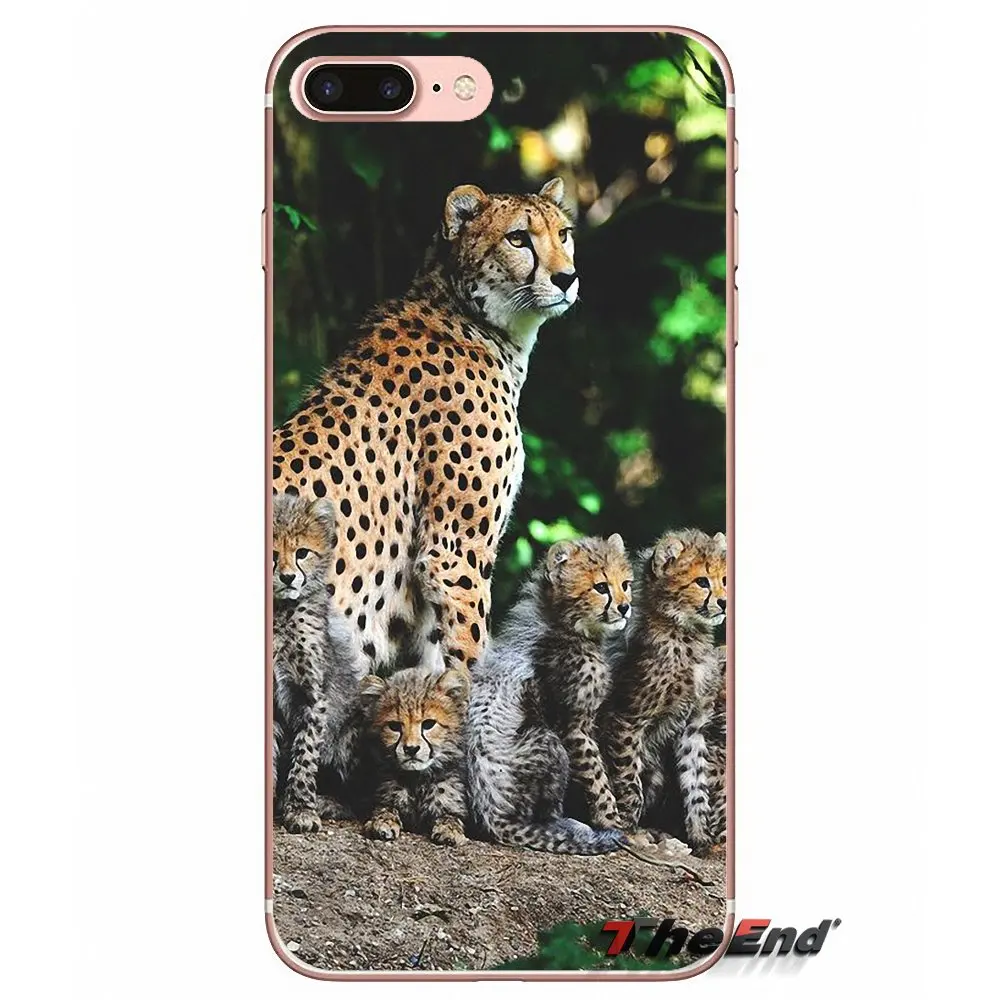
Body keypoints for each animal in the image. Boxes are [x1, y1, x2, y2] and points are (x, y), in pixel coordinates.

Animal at [272, 179, 578, 683]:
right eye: (518, 238)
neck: (472, 319)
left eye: (564, 234)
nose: (567, 278)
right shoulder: (454, 552)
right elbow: (470, 655)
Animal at [272, 493, 365, 832]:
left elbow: (306, 753)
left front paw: (301, 809)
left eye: (302, 553)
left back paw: (328, 802)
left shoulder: (312, 694)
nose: (288, 578)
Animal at [359, 666, 470, 846]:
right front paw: (382, 822)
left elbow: (450, 817)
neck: (418, 781)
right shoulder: (385, 798)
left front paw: (450, 830)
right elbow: (385, 808)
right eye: (394, 726)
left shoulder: (451, 805)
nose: (411, 749)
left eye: (428, 724)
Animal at [466, 535, 632, 854]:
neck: (564, 623)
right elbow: (596, 776)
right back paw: (572, 826)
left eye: (626, 584)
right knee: (543, 815)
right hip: (546, 740)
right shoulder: (572, 726)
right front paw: (611, 820)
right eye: (601, 587)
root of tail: (491, 814)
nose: (625, 607)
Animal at [599, 528, 727, 856]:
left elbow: (696, 784)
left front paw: (701, 837)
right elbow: (629, 783)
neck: (685, 632)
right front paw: (628, 831)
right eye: (702, 581)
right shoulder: (626, 719)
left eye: (724, 578)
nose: (723, 601)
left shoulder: (693, 727)